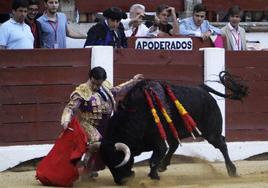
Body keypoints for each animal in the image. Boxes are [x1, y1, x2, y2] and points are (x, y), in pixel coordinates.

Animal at [96, 78, 247, 185]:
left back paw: (232, 171)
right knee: (175, 145)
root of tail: (202, 89)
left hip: (211, 133)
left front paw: (154, 177)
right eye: (107, 164)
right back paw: (163, 166)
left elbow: (153, 160)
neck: (137, 112)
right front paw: (156, 173)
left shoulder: (159, 143)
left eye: (118, 159)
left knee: (222, 144)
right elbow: (159, 156)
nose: (120, 181)